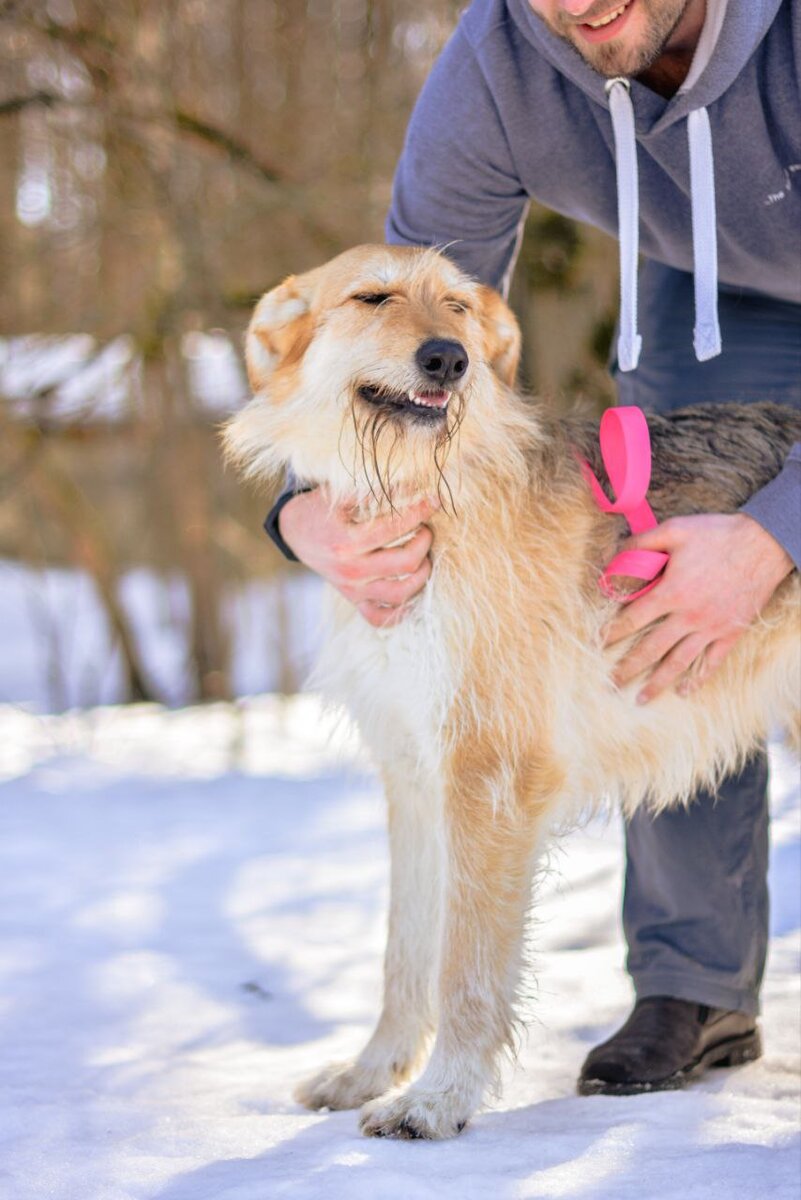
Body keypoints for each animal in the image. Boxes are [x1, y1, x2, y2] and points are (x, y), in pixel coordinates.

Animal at [224, 241, 801, 1132]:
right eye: (373, 298)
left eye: (458, 308)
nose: (448, 359)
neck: (421, 490)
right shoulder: (416, 779)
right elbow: (404, 955)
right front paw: (372, 1074)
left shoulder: (487, 774)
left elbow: (464, 963)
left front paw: (439, 1099)